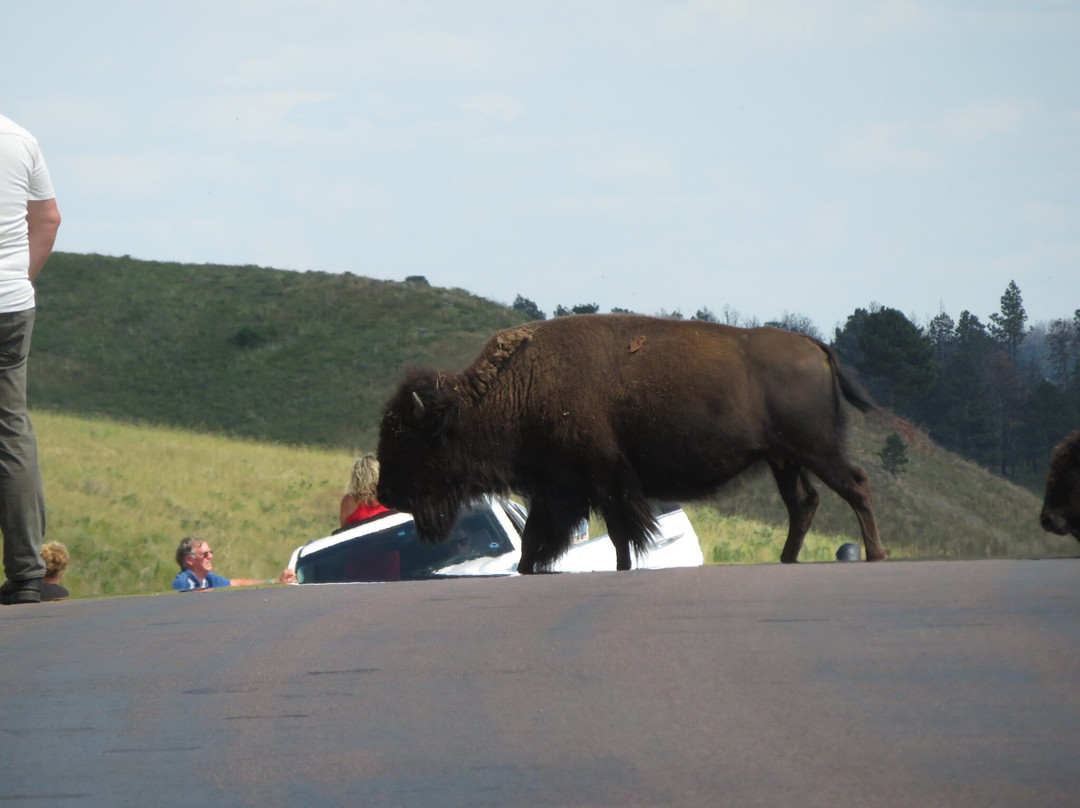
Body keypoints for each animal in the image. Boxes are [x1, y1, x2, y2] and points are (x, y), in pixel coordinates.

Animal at [378, 313, 885, 570]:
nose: (385, 492)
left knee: (854, 484)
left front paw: (622, 567)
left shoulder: (601, 480)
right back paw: (787, 559)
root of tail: (817, 346)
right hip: (786, 460)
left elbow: (621, 535)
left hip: (817, 450)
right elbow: (537, 542)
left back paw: (876, 554)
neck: (519, 386)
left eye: (408, 440)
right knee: (805, 504)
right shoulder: (557, 489)